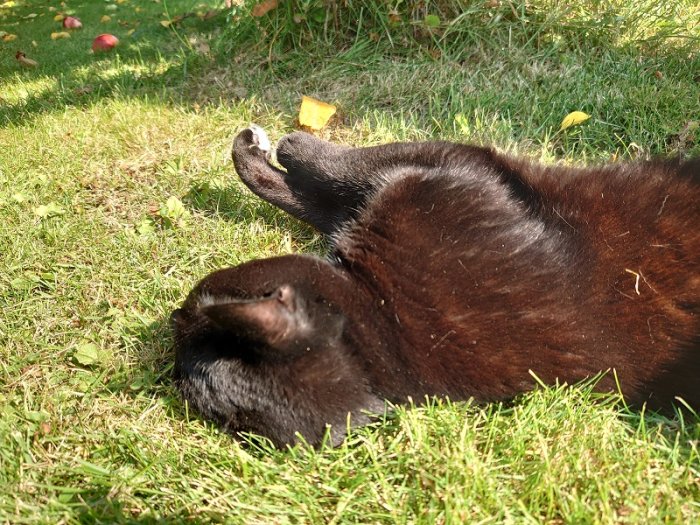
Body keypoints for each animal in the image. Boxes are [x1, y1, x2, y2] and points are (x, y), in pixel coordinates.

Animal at [171, 124, 700, 446]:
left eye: (197, 303)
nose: (176, 315)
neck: (379, 331)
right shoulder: (455, 170)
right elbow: (337, 182)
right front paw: (279, 148)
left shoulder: (443, 170)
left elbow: (328, 183)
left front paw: (273, 150)